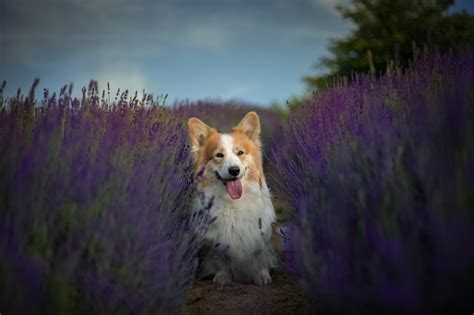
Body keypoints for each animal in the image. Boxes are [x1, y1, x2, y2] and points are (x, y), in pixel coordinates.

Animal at [188, 111, 278, 286]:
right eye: (219, 155)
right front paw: (223, 277)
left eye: (240, 153)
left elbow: (260, 256)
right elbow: (220, 259)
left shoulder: (261, 235)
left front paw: (262, 275)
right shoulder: (216, 240)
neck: (233, 202)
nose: (234, 170)